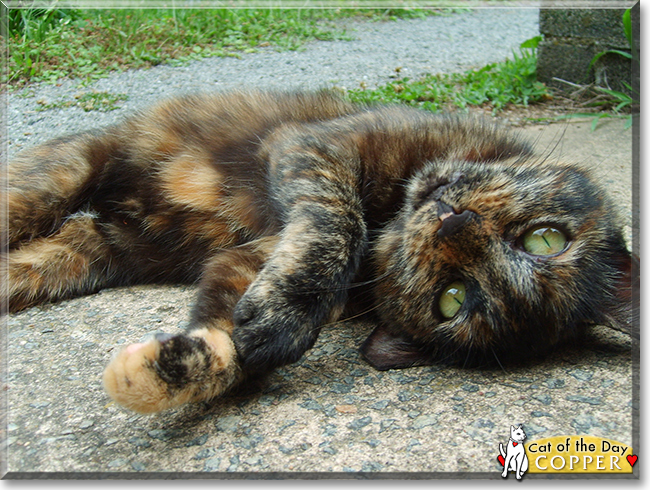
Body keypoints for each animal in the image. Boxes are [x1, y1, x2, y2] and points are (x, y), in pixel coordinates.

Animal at [2, 89, 636, 414]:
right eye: (546, 239)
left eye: (454, 300)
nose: (454, 224)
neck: (390, 220)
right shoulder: (316, 146)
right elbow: (338, 224)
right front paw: (285, 316)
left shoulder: (247, 263)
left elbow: (230, 342)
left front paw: (165, 372)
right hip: (64, 172)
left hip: (86, 254)